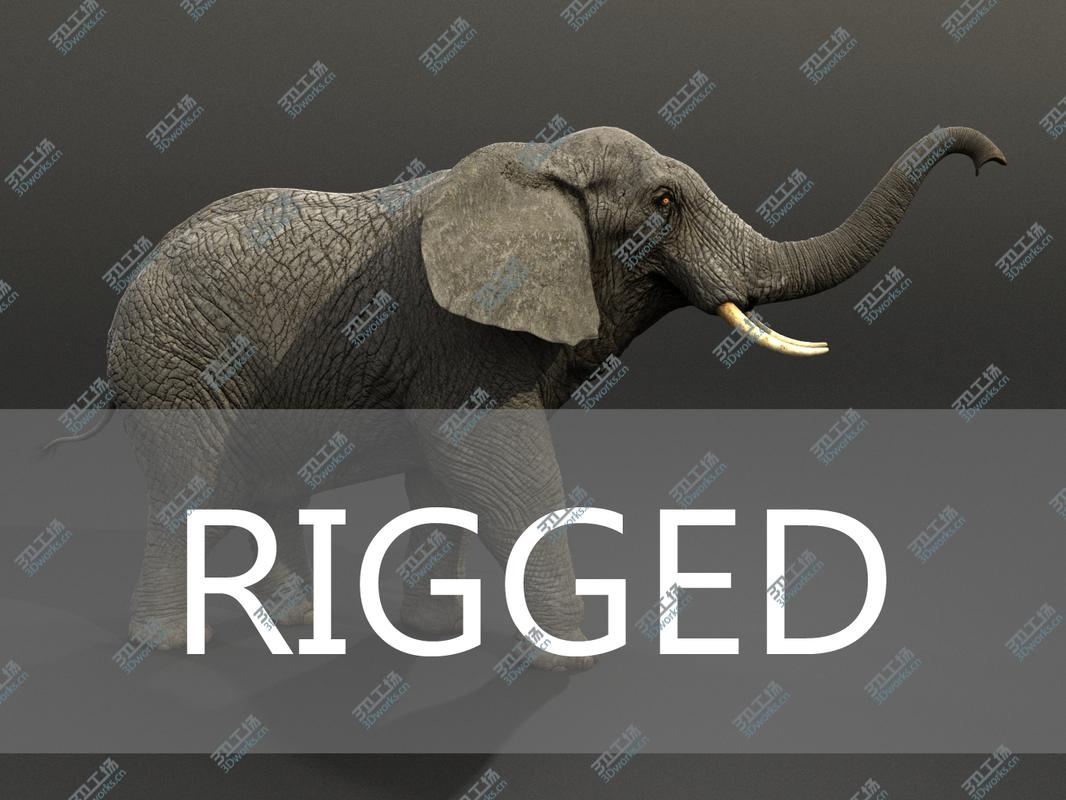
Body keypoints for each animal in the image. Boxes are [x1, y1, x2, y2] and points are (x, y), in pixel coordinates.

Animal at [48, 125, 1005, 672]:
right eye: (663, 202)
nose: (992, 158)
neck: (540, 168)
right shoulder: (453, 325)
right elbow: (493, 461)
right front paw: (577, 659)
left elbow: (441, 477)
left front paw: (434, 636)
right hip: (174, 357)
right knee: (191, 486)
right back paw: (172, 646)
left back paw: (297, 619)